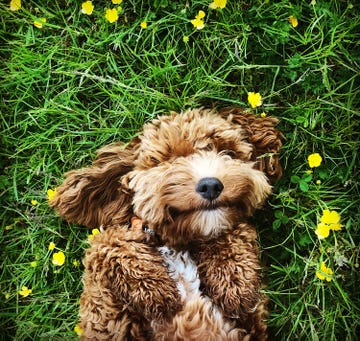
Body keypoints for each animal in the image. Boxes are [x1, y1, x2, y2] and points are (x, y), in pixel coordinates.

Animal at [50, 106, 282, 338]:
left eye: (227, 151)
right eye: (168, 160)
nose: (210, 185)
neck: (175, 247)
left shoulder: (252, 322)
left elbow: (236, 232)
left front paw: (233, 282)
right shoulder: (105, 317)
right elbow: (105, 242)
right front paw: (154, 290)